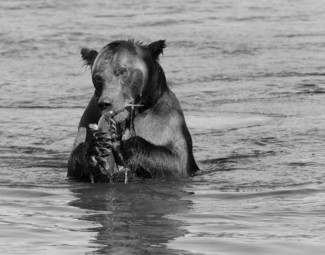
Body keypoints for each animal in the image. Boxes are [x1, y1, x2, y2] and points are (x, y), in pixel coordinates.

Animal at [67, 38, 199, 180]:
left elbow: (174, 161)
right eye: (98, 76)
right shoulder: (89, 117)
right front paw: (96, 149)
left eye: (122, 71)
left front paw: (118, 141)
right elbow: (73, 163)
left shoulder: (166, 121)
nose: (106, 103)